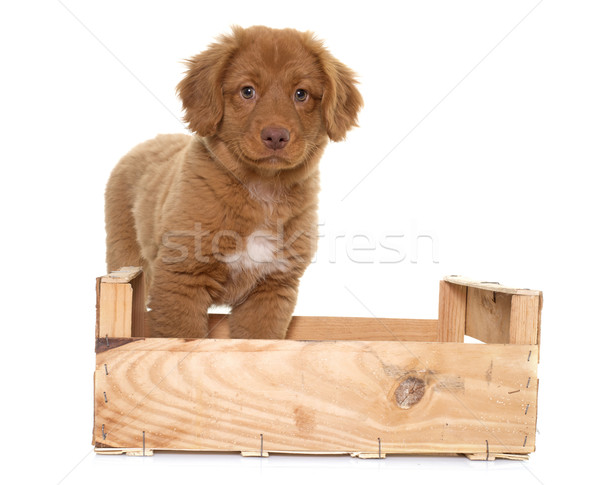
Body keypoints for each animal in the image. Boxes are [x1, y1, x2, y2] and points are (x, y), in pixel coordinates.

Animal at [104, 25, 360, 336]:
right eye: (247, 91)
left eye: (301, 94)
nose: (276, 136)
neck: (262, 189)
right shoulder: (180, 279)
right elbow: (182, 338)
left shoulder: (271, 289)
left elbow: (259, 340)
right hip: (125, 252)